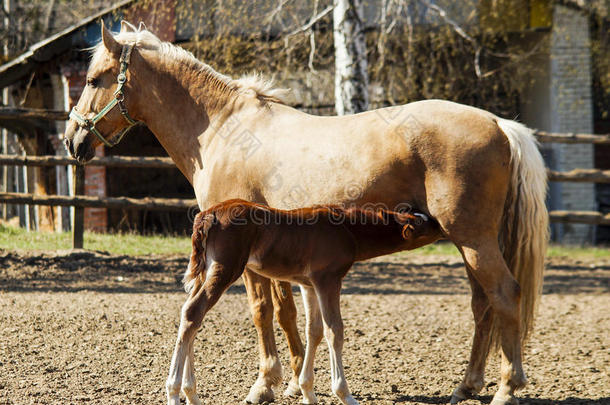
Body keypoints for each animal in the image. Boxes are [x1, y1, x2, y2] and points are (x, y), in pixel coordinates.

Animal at [166, 200, 440, 404]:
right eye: (424, 224)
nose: (440, 223)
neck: (348, 229)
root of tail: (207, 216)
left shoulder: (308, 285)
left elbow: (314, 331)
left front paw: (308, 392)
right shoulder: (328, 280)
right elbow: (334, 330)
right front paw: (345, 394)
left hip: (207, 271)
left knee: (190, 316)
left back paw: (191, 394)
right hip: (225, 269)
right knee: (193, 312)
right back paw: (174, 392)